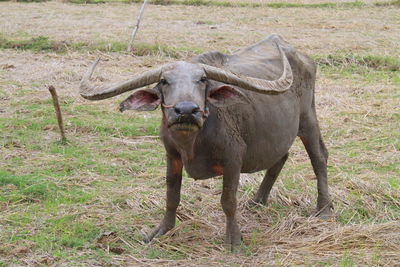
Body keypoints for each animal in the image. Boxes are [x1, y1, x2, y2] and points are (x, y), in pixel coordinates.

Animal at [80, 35, 332, 251]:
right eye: (163, 81)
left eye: (202, 80)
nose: (186, 110)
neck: (192, 144)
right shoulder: (171, 156)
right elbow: (172, 196)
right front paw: (162, 230)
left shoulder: (233, 159)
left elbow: (228, 201)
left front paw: (234, 240)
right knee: (281, 157)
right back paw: (258, 201)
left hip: (308, 118)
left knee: (319, 157)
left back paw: (324, 209)